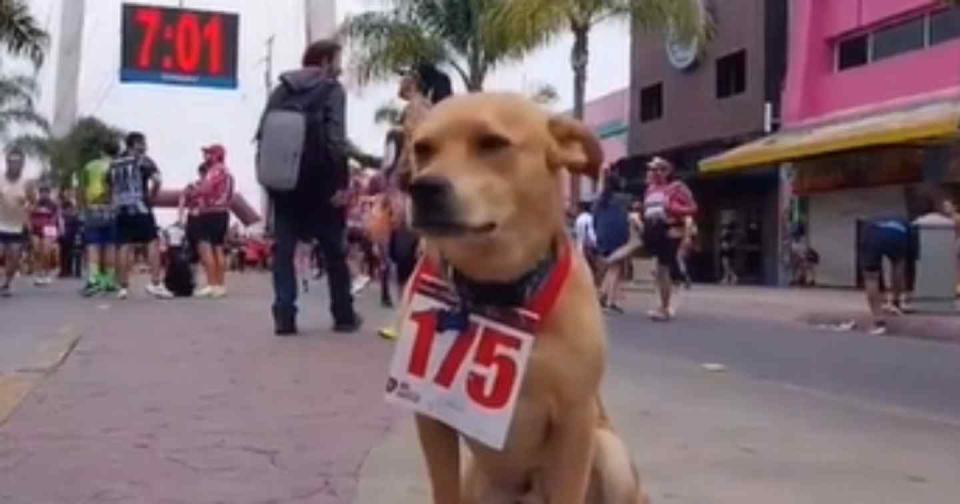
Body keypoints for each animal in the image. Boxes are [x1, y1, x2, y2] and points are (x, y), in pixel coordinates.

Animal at [394, 94, 648, 504]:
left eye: (492, 143)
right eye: (423, 148)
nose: (421, 189)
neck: (498, 293)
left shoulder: (575, 423)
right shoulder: (429, 415)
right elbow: (443, 489)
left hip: (611, 455)